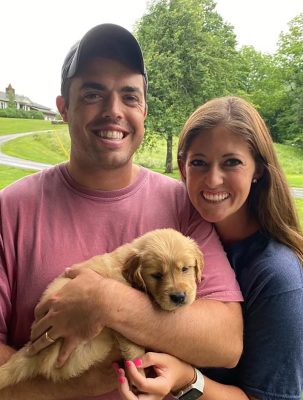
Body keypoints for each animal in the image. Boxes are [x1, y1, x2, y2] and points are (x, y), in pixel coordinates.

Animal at [0, 230, 204, 390]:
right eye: (157, 275)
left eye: (185, 269)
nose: (179, 297)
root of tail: (33, 352)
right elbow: (135, 351)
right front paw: (139, 376)